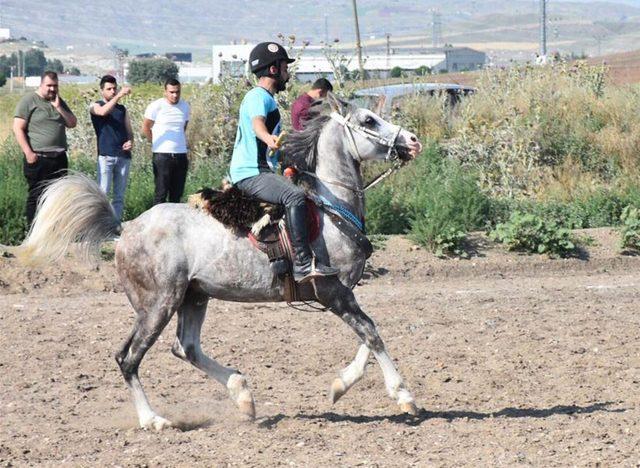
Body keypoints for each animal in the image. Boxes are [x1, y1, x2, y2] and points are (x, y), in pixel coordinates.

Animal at [12, 95, 422, 432]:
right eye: (369, 121)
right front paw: (403, 396)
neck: (329, 208)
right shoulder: (333, 291)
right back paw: (154, 420)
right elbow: (371, 332)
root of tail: (126, 227)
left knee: (185, 347)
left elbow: (368, 338)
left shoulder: (344, 294)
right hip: (158, 304)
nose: (413, 141)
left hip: (192, 297)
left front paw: (340, 385)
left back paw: (242, 395)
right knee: (129, 358)